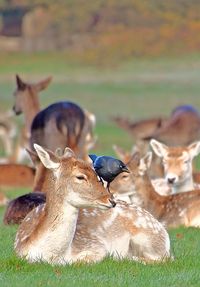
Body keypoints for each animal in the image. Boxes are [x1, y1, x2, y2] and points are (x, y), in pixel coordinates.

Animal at [14, 144, 170, 266]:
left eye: (95, 173)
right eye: (80, 176)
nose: (111, 200)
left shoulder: (95, 245)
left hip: (148, 239)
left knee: (164, 258)